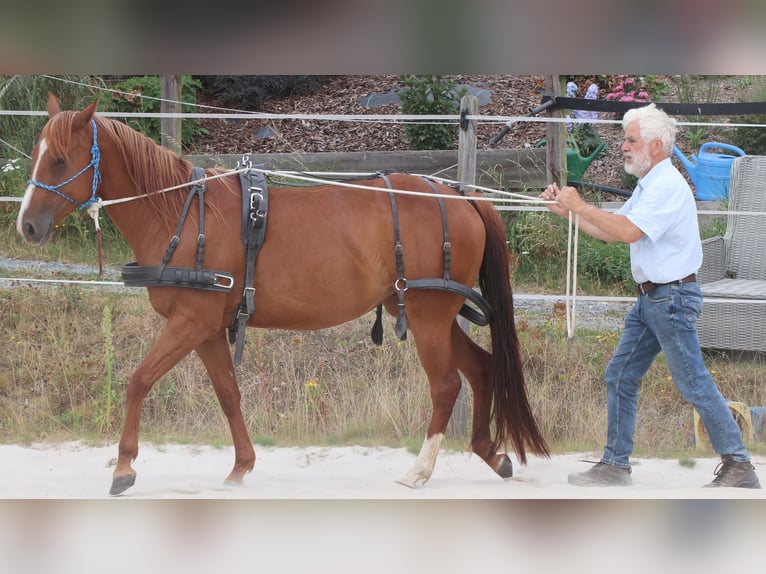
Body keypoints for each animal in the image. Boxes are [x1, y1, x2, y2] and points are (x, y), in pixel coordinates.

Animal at [16, 94, 549, 495]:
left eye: (60, 159)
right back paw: (491, 453)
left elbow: (138, 380)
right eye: (39, 154)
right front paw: (241, 466)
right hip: (428, 314)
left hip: (428, 316)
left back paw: (419, 470)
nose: (27, 226)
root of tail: (457, 194)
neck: (181, 214)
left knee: (447, 385)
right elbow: (228, 393)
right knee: (481, 369)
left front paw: (125, 467)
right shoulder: (207, 330)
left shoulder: (190, 322)